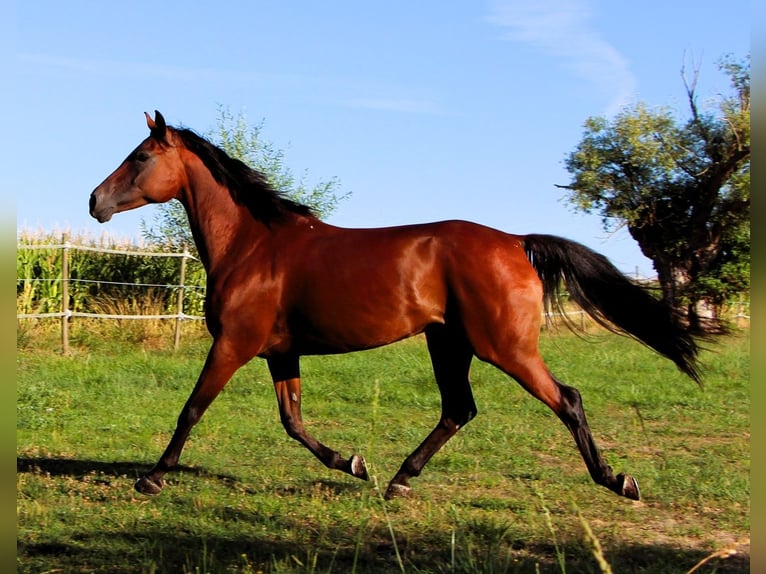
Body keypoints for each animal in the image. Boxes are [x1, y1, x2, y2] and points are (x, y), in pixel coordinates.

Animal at [89, 111, 701, 501]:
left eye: (140, 156)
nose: (95, 201)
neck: (253, 245)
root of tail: (514, 241)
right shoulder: (280, 353)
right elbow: (293, 422)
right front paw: (352, 463)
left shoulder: (234, 345)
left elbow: (191, 408)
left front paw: (152, 477)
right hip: (449, 342)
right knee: (458, 410)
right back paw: (399, 479)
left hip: (503, 346)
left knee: (566, 400)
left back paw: (618, 481)